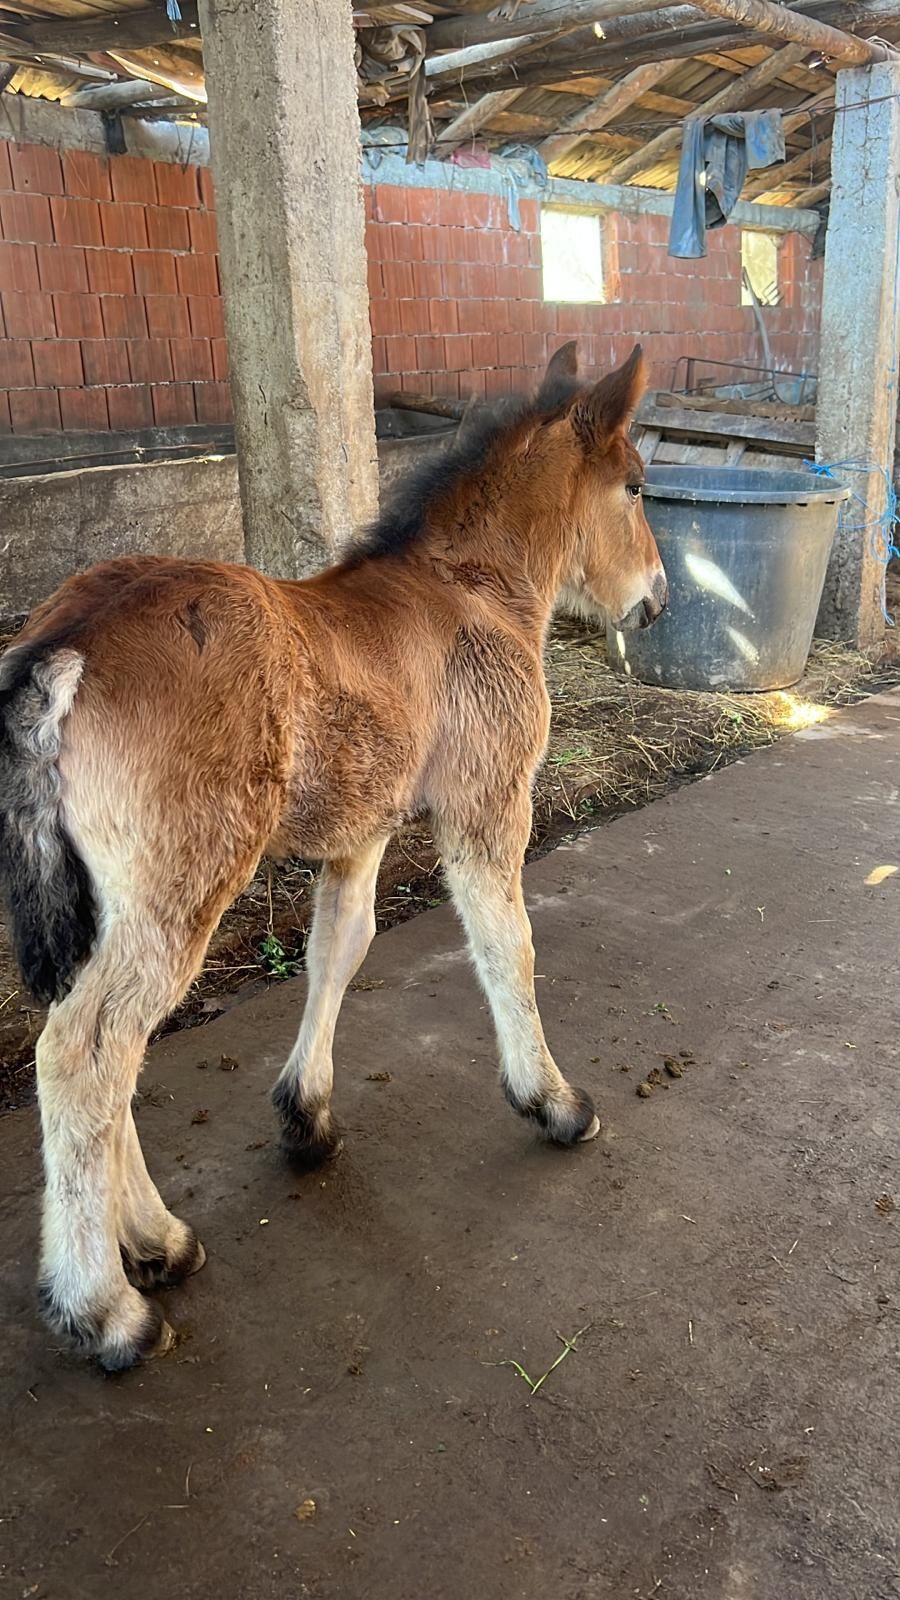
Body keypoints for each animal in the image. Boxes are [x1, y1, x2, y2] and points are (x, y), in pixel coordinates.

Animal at [0, 344, 659, 1369]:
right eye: (634, 486)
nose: (656, 600)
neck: (470, 587)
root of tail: (60, 643)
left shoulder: (365, 829)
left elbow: (337, 950)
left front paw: (304, 1119)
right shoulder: (486, 802)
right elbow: (508, 948)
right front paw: (552, 1102)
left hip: (107, 901)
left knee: (106, 1050)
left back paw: (158, 1242)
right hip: (183, 883)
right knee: (85, 1053)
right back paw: (106, 1310)